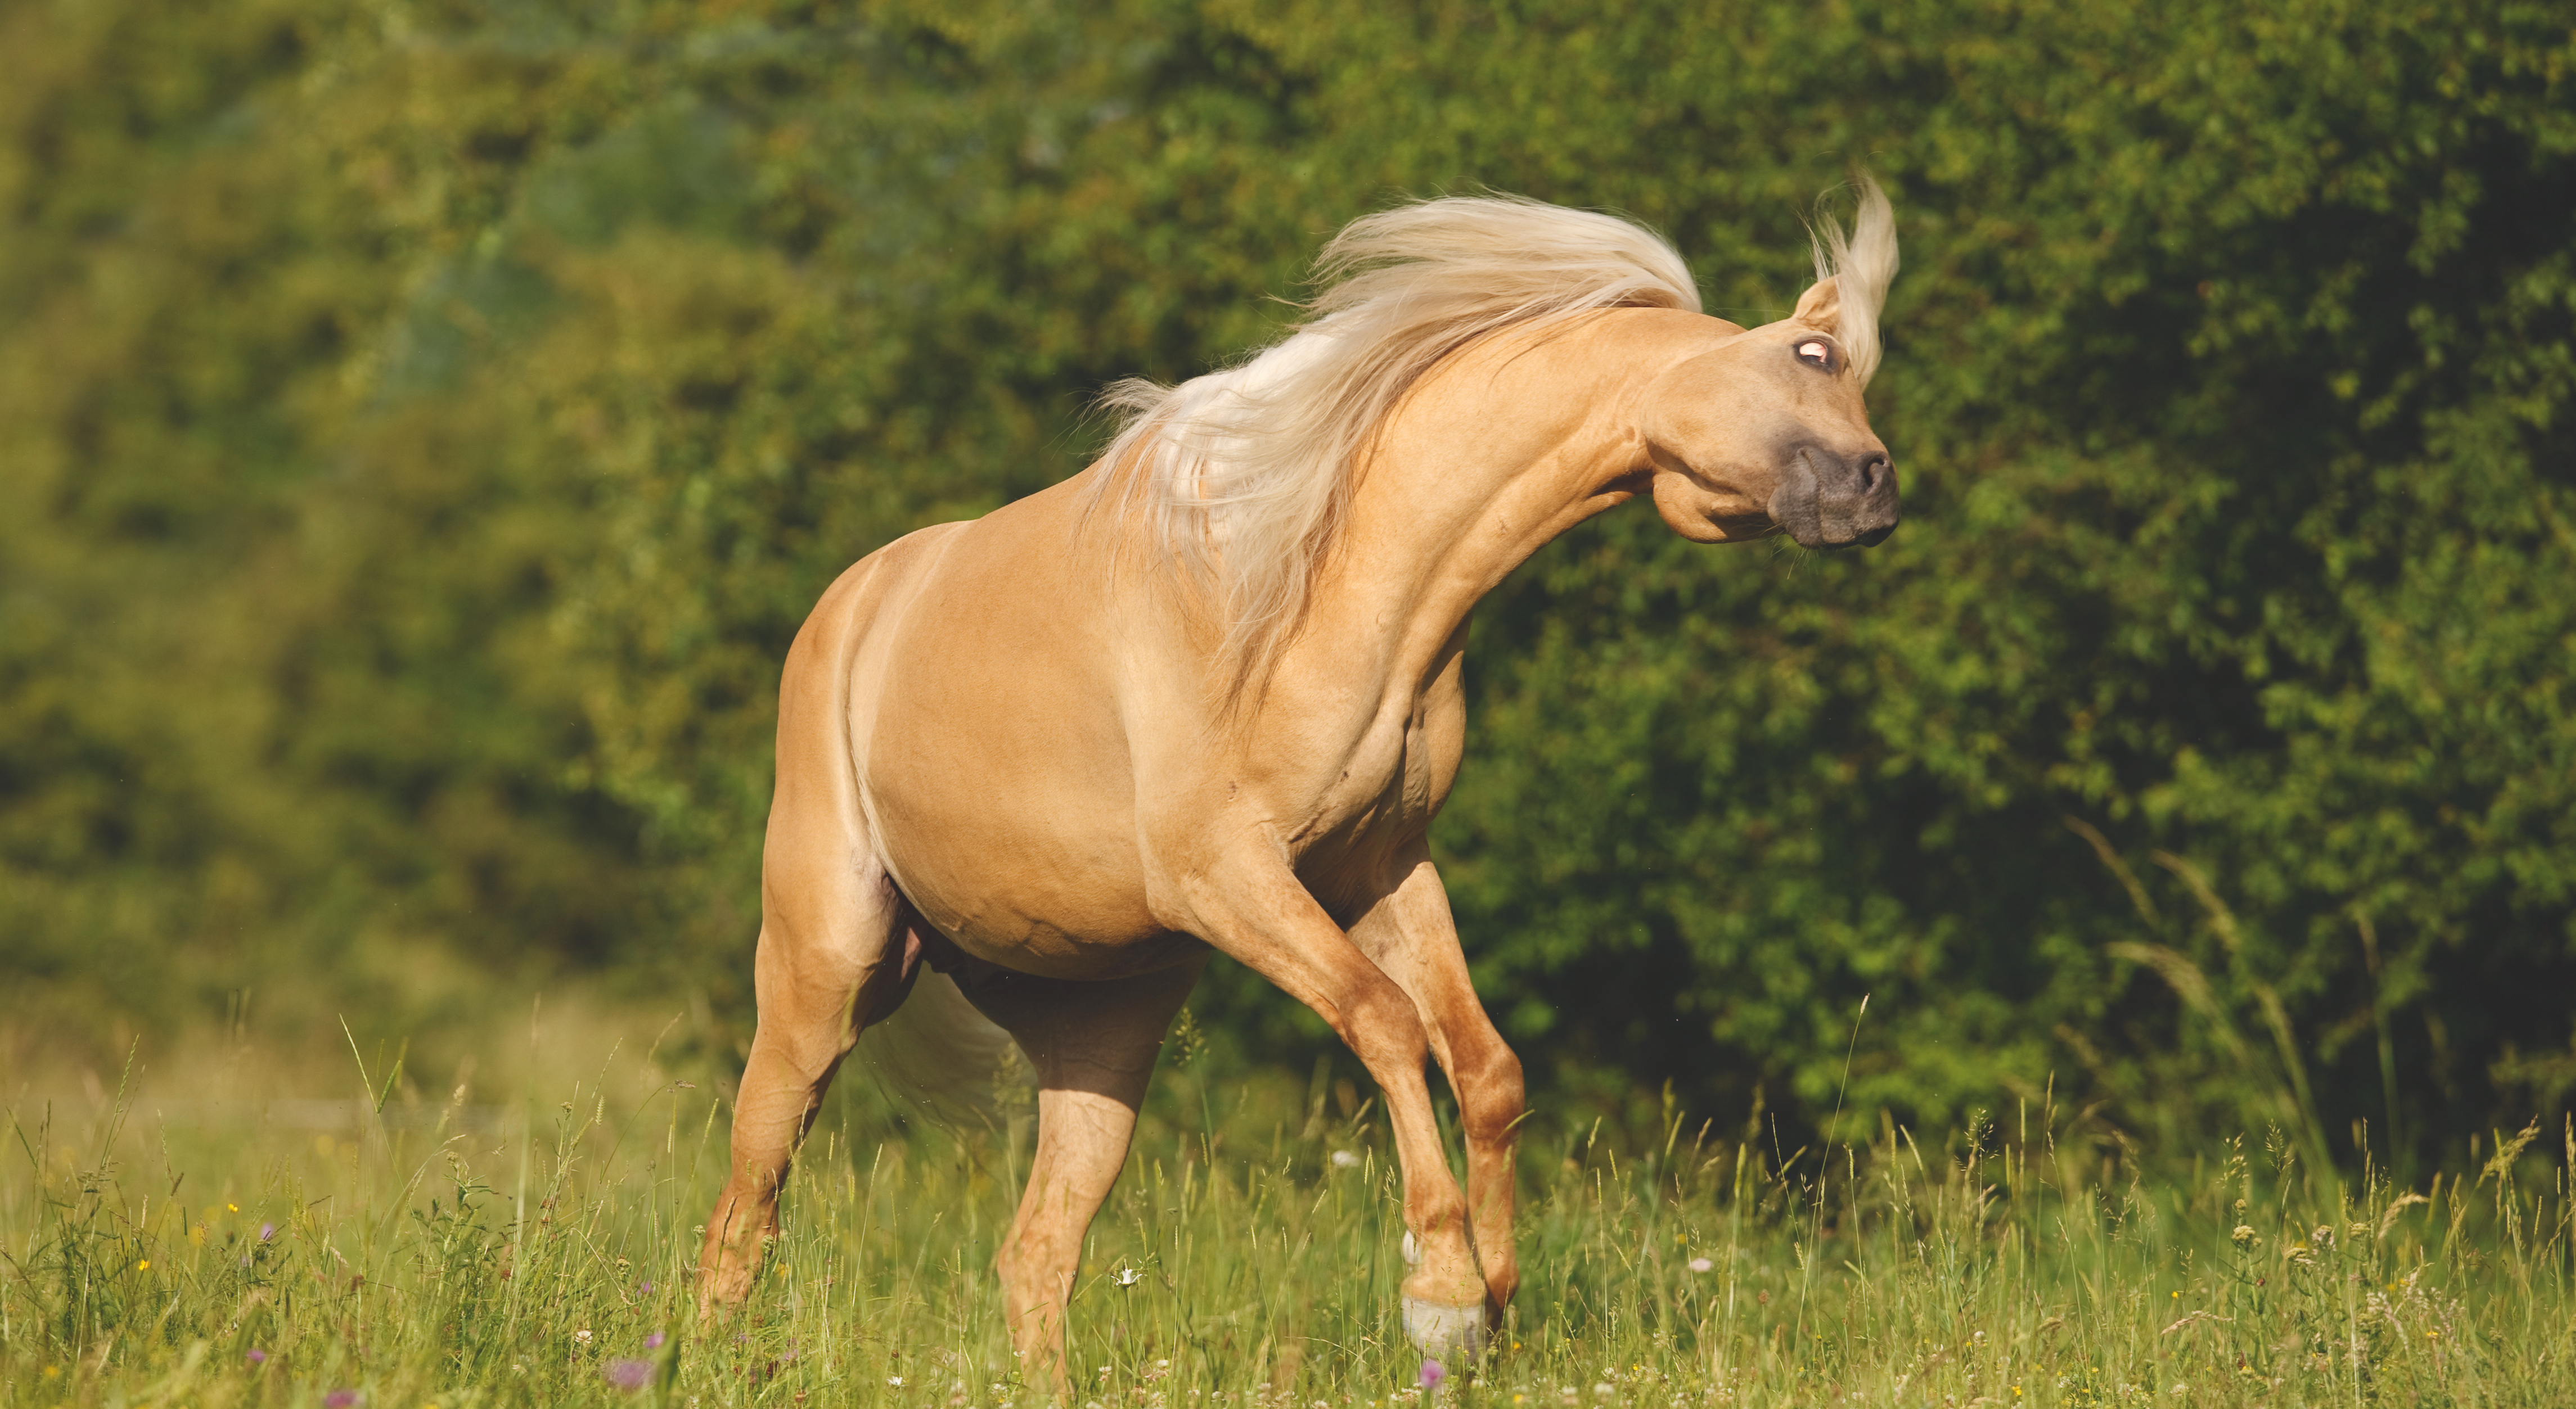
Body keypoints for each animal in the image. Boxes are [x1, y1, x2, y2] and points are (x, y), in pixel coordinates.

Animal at [695, 184, 1906, 1380]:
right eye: (1811, 353)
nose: (1877, 491)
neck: (1321, 578)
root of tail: (854, 603)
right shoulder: (1228, 877)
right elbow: (1386, 1022)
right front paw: (1441, 1293)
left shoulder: (1381, 864)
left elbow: (1486, 1063)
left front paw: (1496, 1295)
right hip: (822, 978)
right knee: (745, 1210)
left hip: (1101, 1034)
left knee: (1033, 1255)